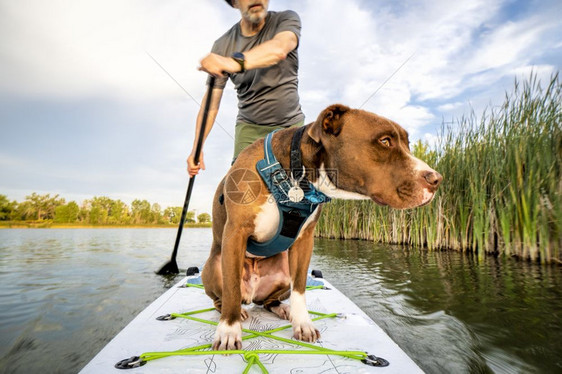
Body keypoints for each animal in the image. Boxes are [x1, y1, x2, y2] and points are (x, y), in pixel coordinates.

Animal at [201, 103, 442, 350]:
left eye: (408, 144)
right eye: (385, 141)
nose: (436, 179)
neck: (294, 171)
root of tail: (250, 295)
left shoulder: (304, 241)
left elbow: (299, 288)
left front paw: (302, 324)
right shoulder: (235, 233)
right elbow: (231, 288)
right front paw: (229, 331)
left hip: (282, 272)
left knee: (268, 301)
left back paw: (282, 308)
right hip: (214, 267)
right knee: (223, 297)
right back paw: (236, 312)